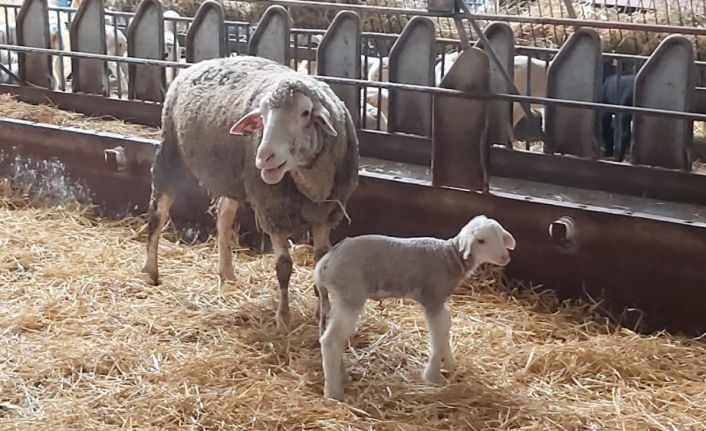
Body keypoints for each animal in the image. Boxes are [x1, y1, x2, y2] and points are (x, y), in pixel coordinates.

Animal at [144, 54, 364, 330]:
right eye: (263, 116)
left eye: (305, 113)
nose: (263, 157)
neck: (311, 184)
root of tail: (202, 62)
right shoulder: (272, 211)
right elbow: (284, 266)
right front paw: (283, 318)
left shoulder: (327, 214)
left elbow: (321, 261)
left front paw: (323, 313)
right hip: (171, 149)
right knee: (158, 214)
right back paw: (151, 271)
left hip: (232, 177)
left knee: (223, 216)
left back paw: (226, 272)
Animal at [316, 216, 516, 402]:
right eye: (481, 241)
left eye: (501, 236)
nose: (505, 258)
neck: (449, 257)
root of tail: (324, 264)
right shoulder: (432, 298)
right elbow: (438, 333)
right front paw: (433, 376)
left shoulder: (439, 301)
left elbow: (446, 327)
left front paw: (449, 363)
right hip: (351, 294)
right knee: (331, 340)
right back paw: (334, 393)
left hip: (339, 298)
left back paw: (341, 375)